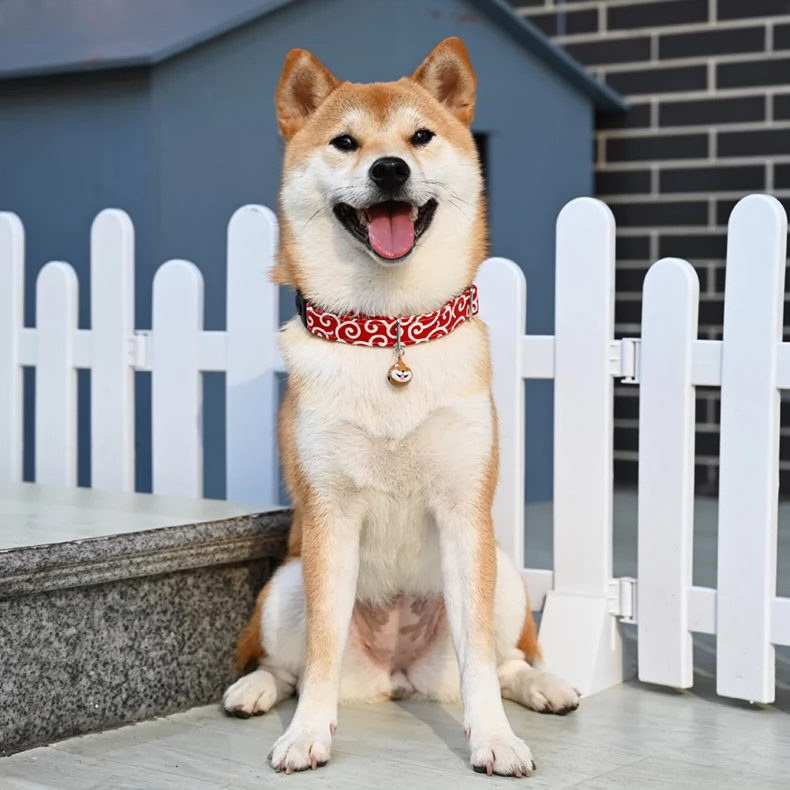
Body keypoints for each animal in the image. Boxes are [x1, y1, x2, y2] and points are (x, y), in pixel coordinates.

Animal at [223, 38, 580, 780]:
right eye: (345, 142)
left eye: (420, 137)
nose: (389, 168)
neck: (390, 333)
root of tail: (396, 676)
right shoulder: (329, 518)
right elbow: (321, 652)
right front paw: (306, 734)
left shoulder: (465, 513)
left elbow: (481, 663)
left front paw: (494, 739)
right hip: (286, 584)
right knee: (288, 666)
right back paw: (255, 689)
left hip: (504, 576)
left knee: (506, 661)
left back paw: (544, 685)